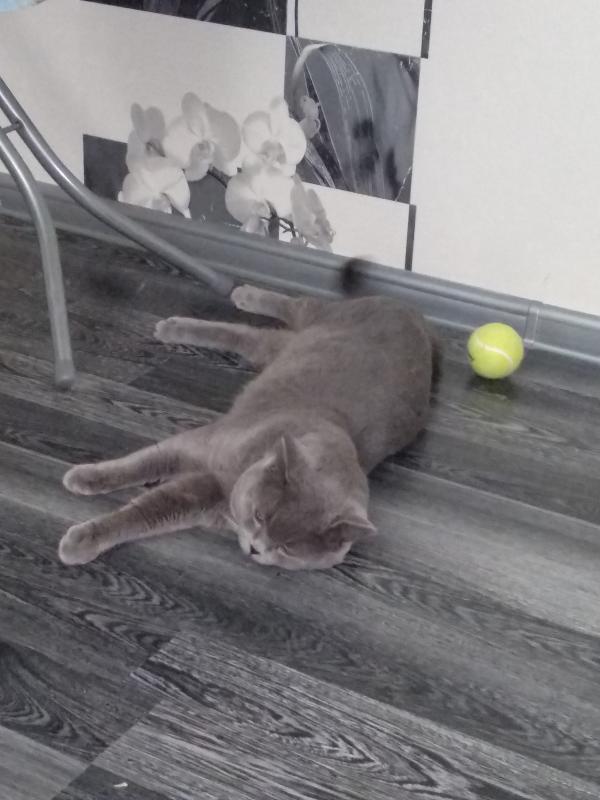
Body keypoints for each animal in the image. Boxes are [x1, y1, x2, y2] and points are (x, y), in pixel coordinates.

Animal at [59, 283, 434, 570]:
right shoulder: (195, 445)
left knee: (251, 335)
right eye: (260, 516)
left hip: (282, 346)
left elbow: (147, 512)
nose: (256, 548)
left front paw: (81, 538)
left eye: (287, 548)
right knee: (289, 309)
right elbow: (141, 464)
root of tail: (415, 315)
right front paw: (83, 478)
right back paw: (224, 303)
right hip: (320, 318)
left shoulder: (198, 499)